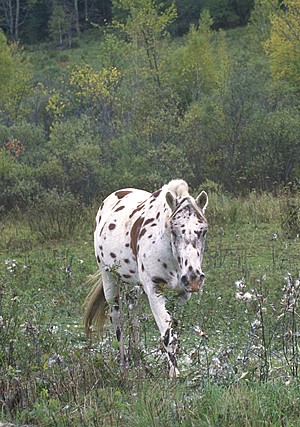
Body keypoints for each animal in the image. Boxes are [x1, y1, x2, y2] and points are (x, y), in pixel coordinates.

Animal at [83, 180, 207, 378]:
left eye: (203, 231)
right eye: (173, 230)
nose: (194, 278)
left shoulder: (182, 294)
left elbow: (175, 332)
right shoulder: (154, 290)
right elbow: (168, 335)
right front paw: (174, 375)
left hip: (135, 288)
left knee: (134, 318)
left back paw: (139, 358)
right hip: (109, 278)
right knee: (118, 320)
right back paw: (123, 366)